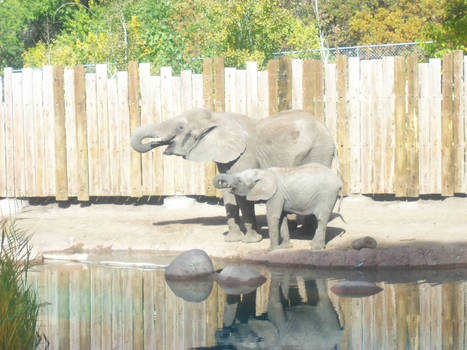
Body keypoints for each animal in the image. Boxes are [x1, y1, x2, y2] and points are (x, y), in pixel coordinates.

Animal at [132, 108, 336, 242]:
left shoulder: (245, 155)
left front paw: (251, 241)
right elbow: (227, 194)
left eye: (181, 127)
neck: (218, 117)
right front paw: (232, 240)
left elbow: (242, 194)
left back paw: (305, 234)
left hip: (318, 151)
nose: (154, 144)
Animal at [216, 164, 344, 252]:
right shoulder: (280, 197)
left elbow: (273, 217)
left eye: (239, 180)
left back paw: (315, 248)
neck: (262, 172)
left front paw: (271, 250)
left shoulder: (276, 195)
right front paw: (285, 248)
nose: (226, 185)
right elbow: (282, 218)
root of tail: (340, 182)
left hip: (327, 196)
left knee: (321, 219)